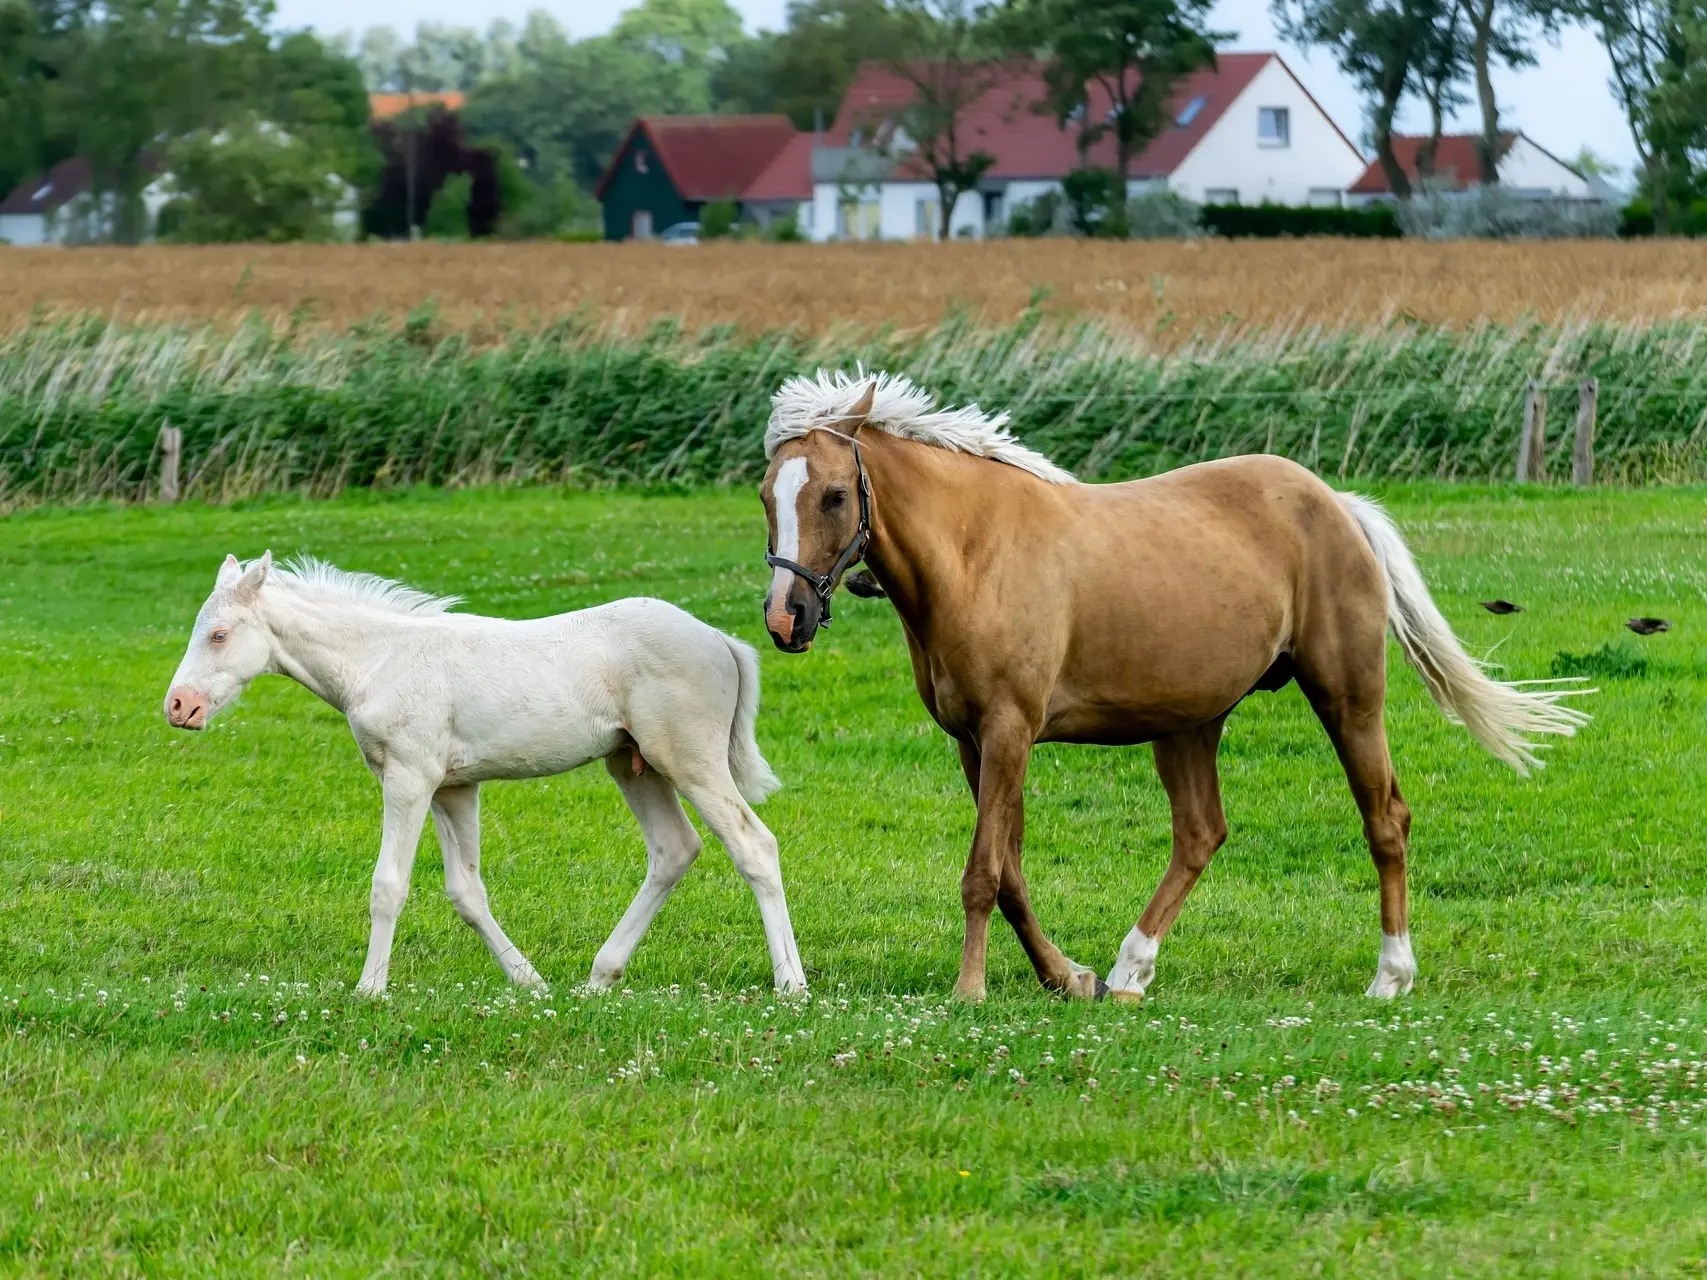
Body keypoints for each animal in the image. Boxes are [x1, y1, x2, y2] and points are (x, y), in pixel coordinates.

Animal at [166, 552, 805, 1003]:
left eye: (219, 634)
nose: (178, 706)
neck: (380, 659)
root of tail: (720, 640)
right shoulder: (453, 788)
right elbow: (466, 892)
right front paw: (529, 982)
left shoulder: (409, 778)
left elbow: (388, 885)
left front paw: (370, 989)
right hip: (632, 763)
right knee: (675, 850)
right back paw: (600, 976)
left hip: (688, 759)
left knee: (753, 845)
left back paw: (791, 985)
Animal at [761, 370, 1584, 1003]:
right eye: (770, 494)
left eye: (834, 495)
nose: (785, 617)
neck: (973, 553)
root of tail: (1335, 504)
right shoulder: (974, 742)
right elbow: (1012, 875)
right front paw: (1068, 977)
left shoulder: (1009, 732)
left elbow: (982, 872)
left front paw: (971, 990)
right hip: (1189, 723)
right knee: (1200, 834)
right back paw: (1130, 970)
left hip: (1348, 700)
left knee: (1385, 819)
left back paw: (1390, 975)